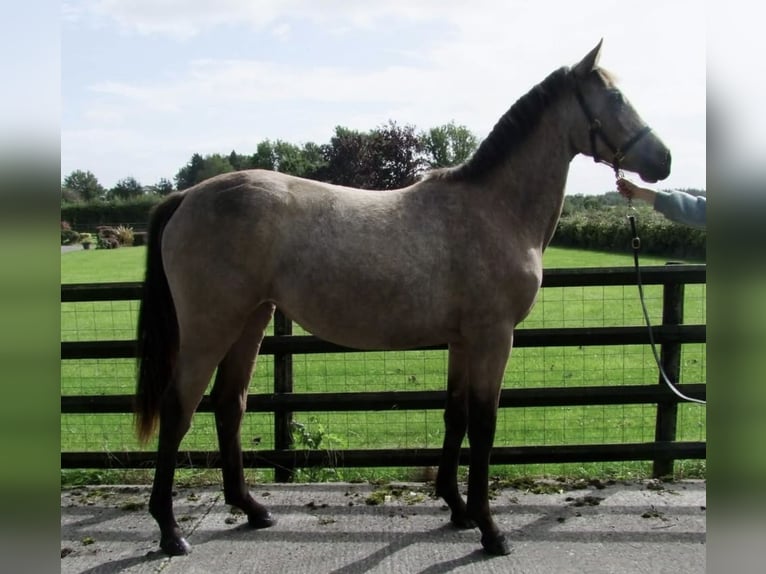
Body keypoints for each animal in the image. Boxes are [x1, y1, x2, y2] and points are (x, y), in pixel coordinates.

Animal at [134, 40, 670, 557]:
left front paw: (457, 508)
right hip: (211, 328)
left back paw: (251, 508)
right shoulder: (494, 338)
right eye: (615, 98)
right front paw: (489, 529)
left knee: (230, 404)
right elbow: (484, 424)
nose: (664, 159)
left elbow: (456, 416)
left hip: (251, 320)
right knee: (179, 408)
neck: (493, 209)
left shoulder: (462, 341)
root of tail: (187, 197)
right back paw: (170, 530)